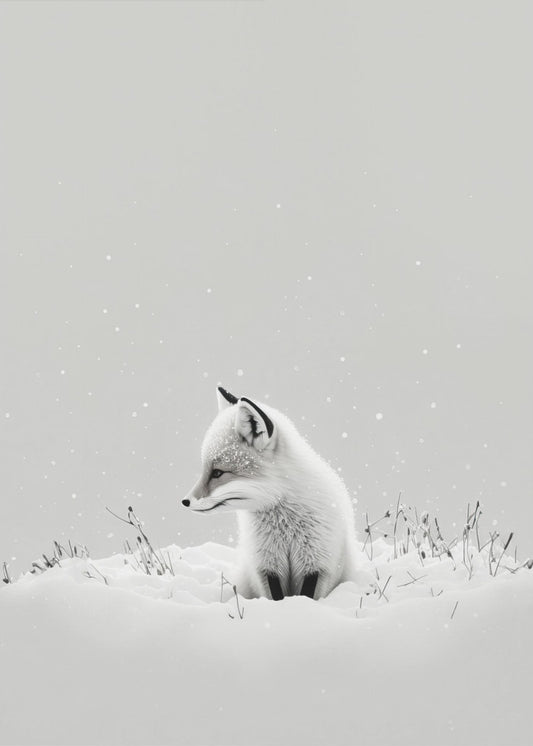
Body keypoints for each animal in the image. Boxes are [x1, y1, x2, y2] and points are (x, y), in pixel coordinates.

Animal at [181, 386, 358, 600]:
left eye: (217, 473)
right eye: (205, 470)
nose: (185, 501)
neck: (285, 526)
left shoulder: (317, 562)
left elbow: (306, 595)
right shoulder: (266, 565)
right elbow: (276, 597)